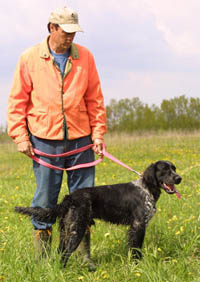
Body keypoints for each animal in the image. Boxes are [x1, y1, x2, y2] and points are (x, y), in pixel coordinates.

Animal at [15, 161, 181, 266]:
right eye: (165, 170)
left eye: (174, 168)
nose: (179, 178)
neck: (146, 189)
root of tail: (69, 197)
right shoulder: (138, 225)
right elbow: (136, 249)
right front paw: (137, 265)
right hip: (77, 229)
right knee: (65, 254)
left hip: (66, 230)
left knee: (60, 252)